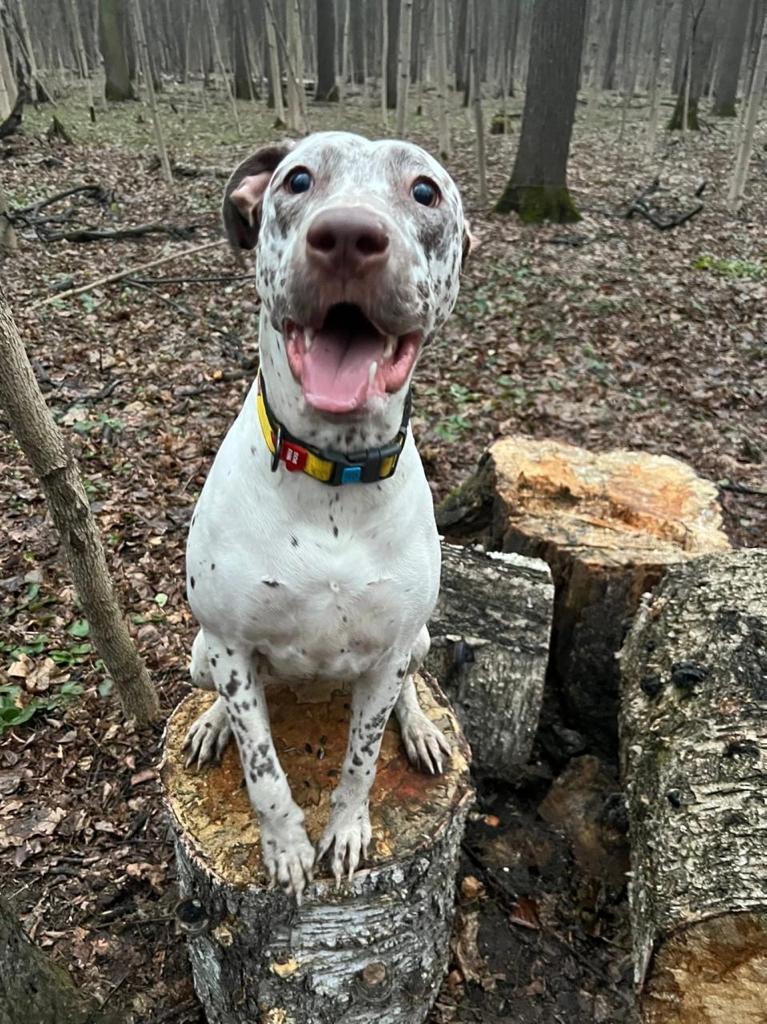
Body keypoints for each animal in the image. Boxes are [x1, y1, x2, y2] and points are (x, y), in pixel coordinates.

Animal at [182, 125, 469, 897]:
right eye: (298, 179)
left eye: (424, 190)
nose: (346, 236)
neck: (332, 475)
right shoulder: (230, 645)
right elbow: (263, 770)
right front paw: (284, 846)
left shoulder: (390, 652)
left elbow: (361, 760)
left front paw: (345, 830)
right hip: (201, 655)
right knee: (224, 698)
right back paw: (212, 723)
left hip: (417, 643)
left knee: (408, 688)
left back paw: (421, 729)